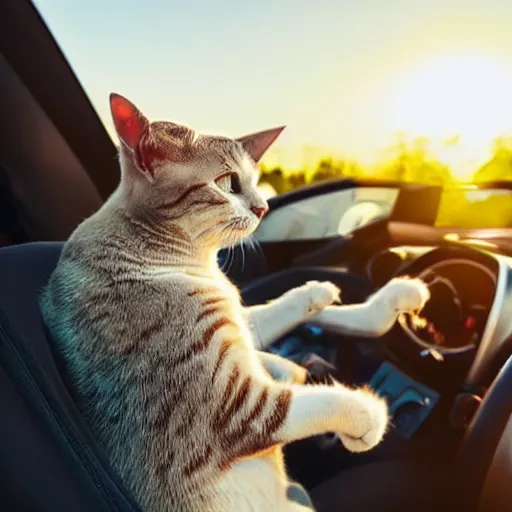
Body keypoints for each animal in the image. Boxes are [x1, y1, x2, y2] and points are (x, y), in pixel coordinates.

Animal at [41, 93, 432, 512]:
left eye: (257, 181)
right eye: (228, 183)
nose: (264, 208)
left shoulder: (239, 322)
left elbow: (288, 307)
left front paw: (364, 299)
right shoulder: (237, 407)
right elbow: (315, 402)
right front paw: (370, 415)